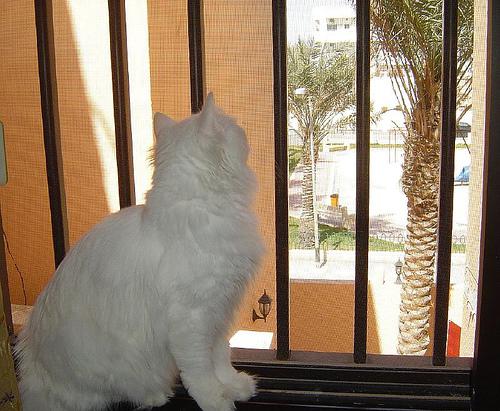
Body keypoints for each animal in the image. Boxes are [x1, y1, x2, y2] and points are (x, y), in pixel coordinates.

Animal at [14, 93, 265, 411]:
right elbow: (201, 371)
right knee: (98, 396)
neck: (202, 207)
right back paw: (155, 395)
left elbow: (222, 356)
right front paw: (216, 400)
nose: (245, 131)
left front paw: (234, 386)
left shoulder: (219, 311)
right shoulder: (192, 319)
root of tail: (33, 372)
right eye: (235, 128)